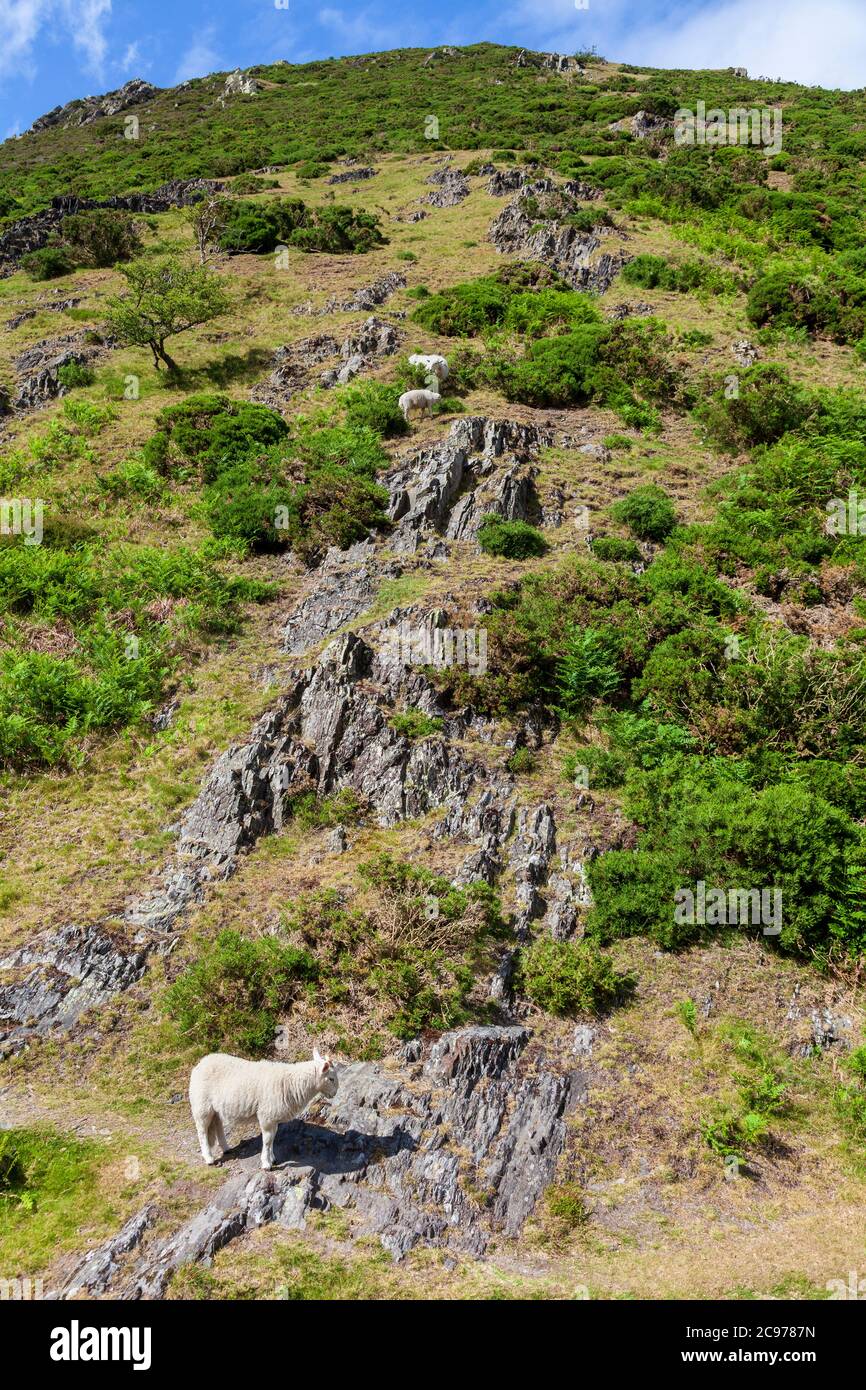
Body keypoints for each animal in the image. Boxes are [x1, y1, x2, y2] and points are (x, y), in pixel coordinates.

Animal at [189, 1048, 338, 1170]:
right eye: (331, 1079)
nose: (335, 1093)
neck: (292, 1083)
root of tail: (201, 1063)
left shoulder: (274, 1117)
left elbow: (272, 1138)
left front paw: (272, 1159)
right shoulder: (266, 1116)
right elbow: (267, 1140)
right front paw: (266, 1164)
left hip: (216, 1110)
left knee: (218, 1127)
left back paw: (226, 1148)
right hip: (201, 1106)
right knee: (202, 1132)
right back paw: (209, 1158)